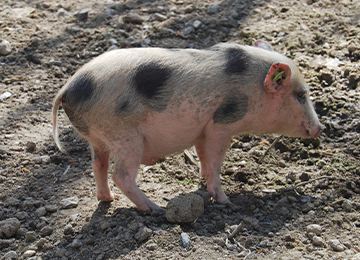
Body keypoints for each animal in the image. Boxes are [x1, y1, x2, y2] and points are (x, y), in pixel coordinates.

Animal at [52, 41, 324, 213]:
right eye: (301, 95)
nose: (320, 128)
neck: (252, 88)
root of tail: (66, 89)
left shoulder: (203, 130)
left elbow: (203, 155)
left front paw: (202, 178)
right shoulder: (221, 124)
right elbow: (215, 162)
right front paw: (225, 201)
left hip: (98, 137)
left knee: (98, 165)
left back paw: (109, 199)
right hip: (124, 135)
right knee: (121, 175)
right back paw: (155, 209)